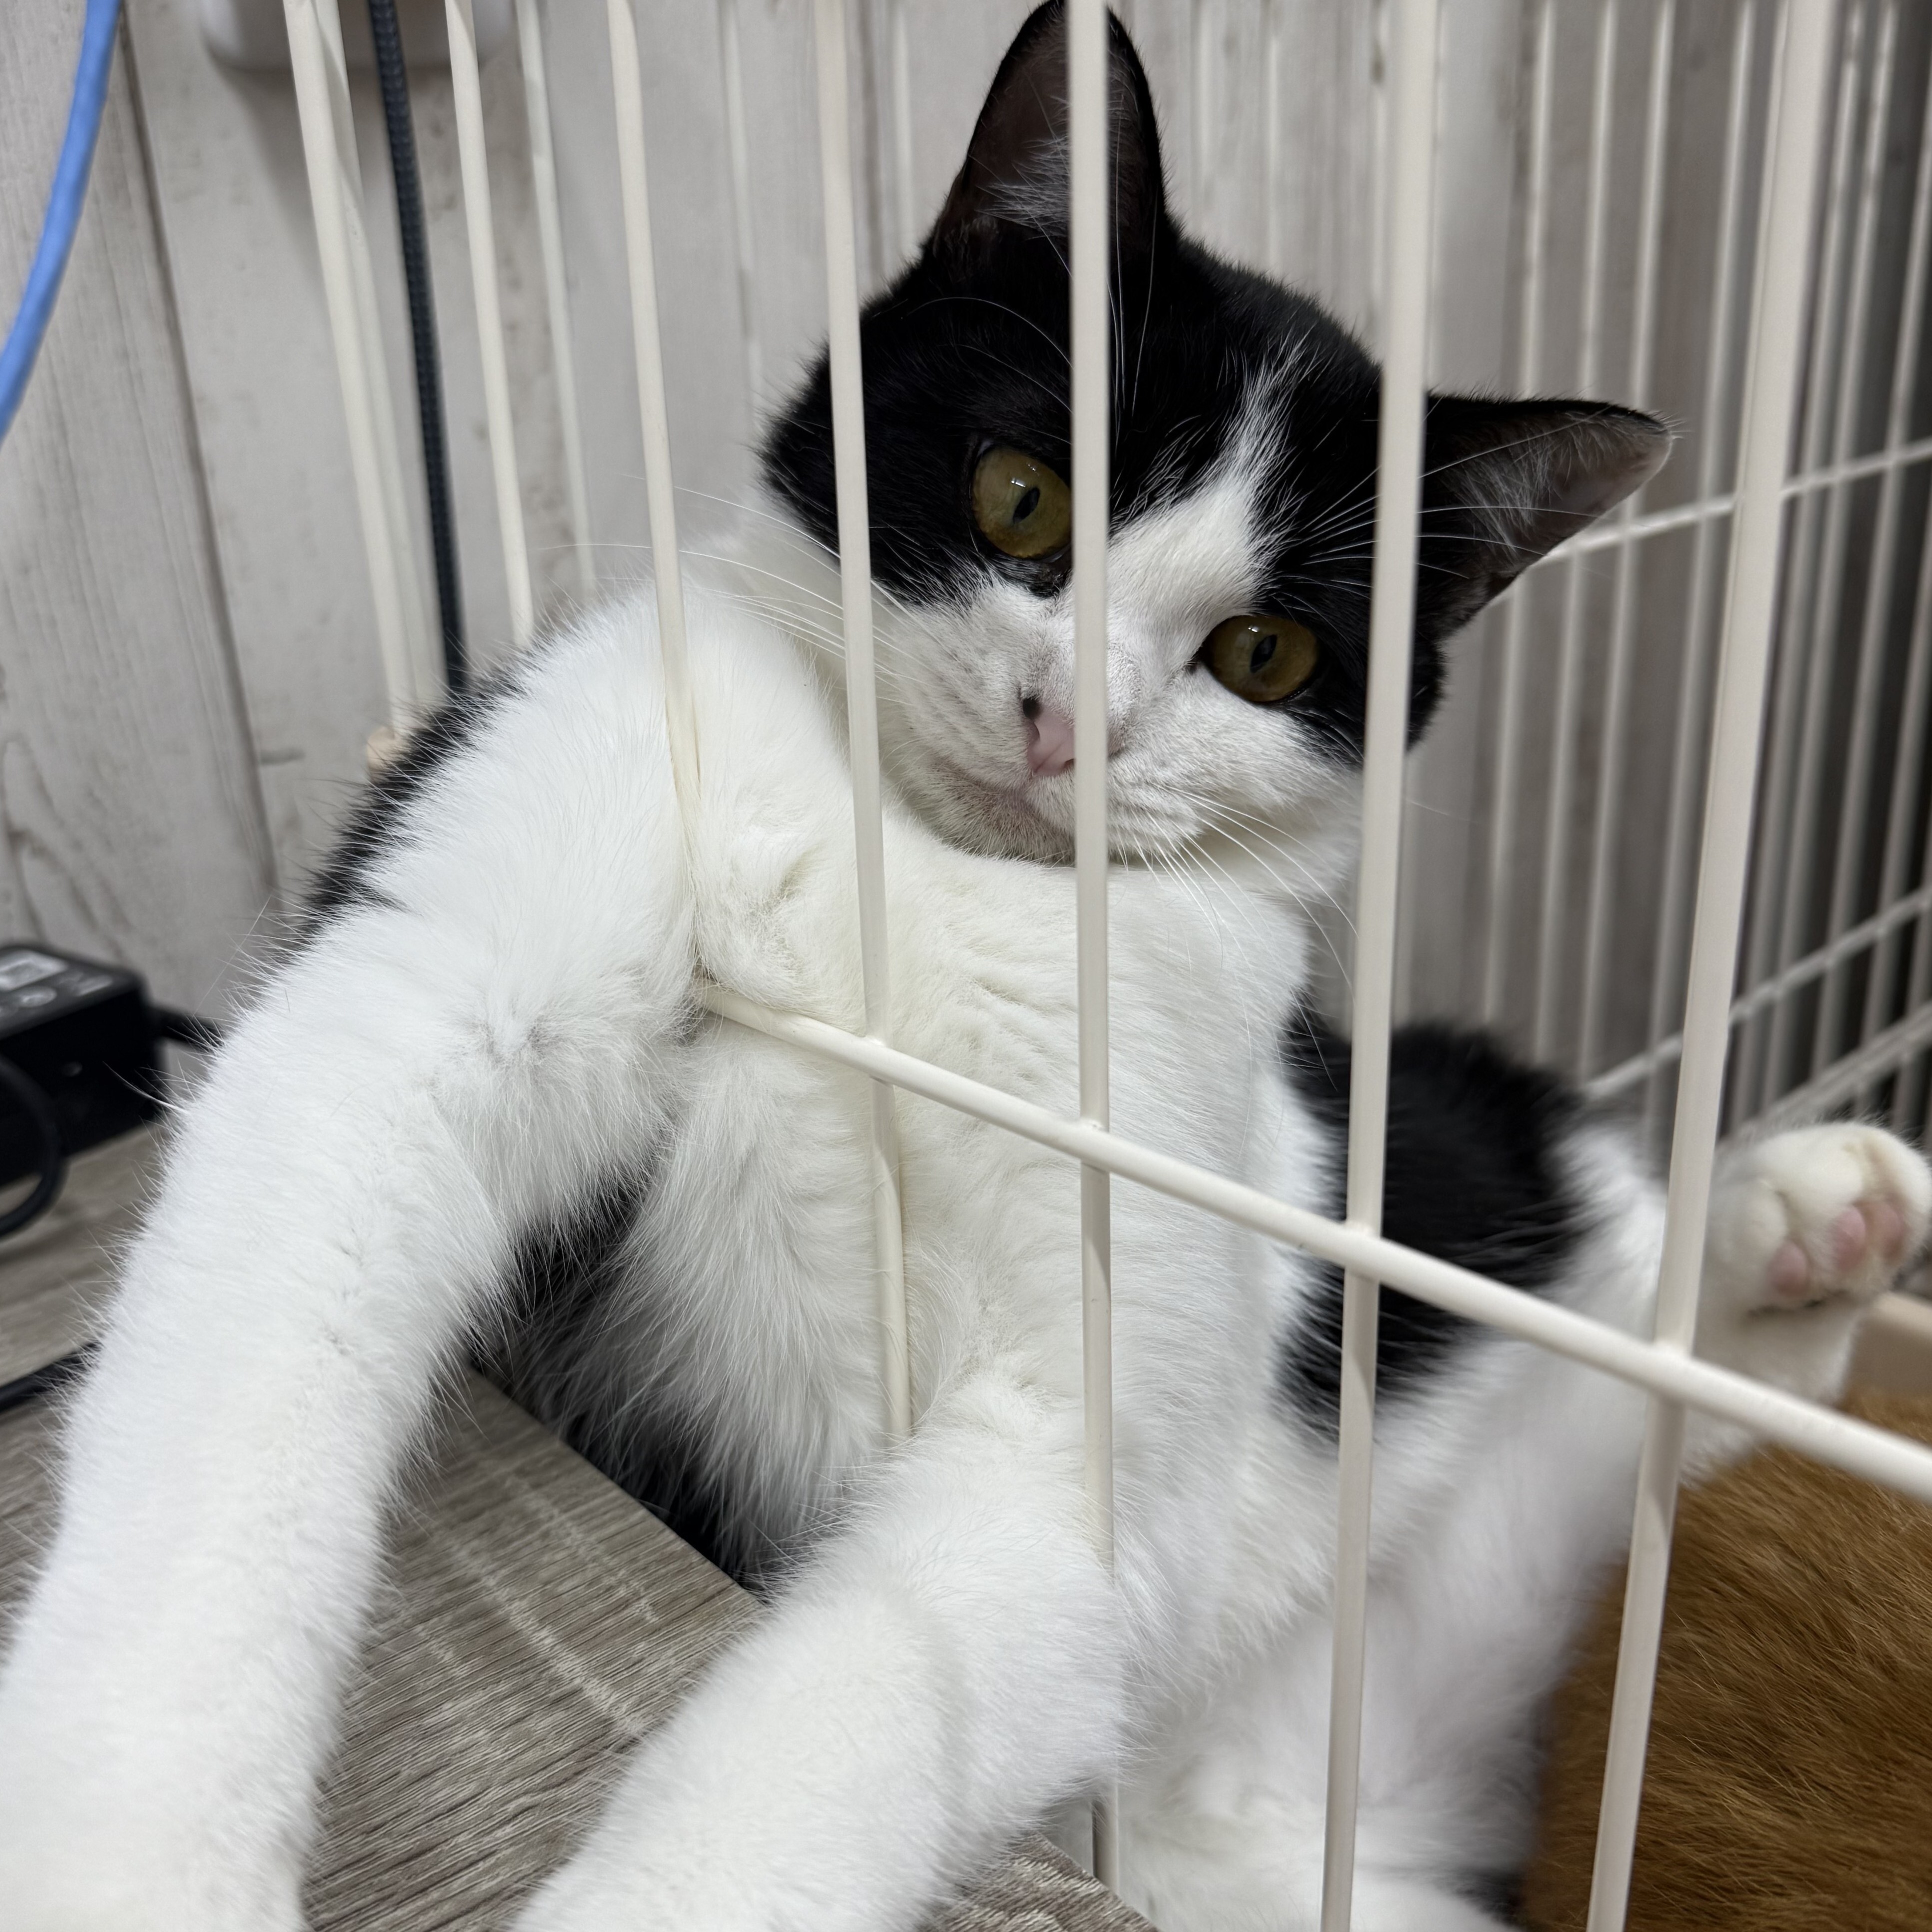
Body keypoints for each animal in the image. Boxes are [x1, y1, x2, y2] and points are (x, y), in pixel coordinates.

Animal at [1, 7, 1926, 1931]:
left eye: (1264, 652)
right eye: (1020, 492)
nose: (1065, 720)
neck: (925, 873)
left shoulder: (1115, 1336)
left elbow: (889, 1667)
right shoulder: (460, 932)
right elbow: (251, 1362)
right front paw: (127, 1854)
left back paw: (1796, 1228)